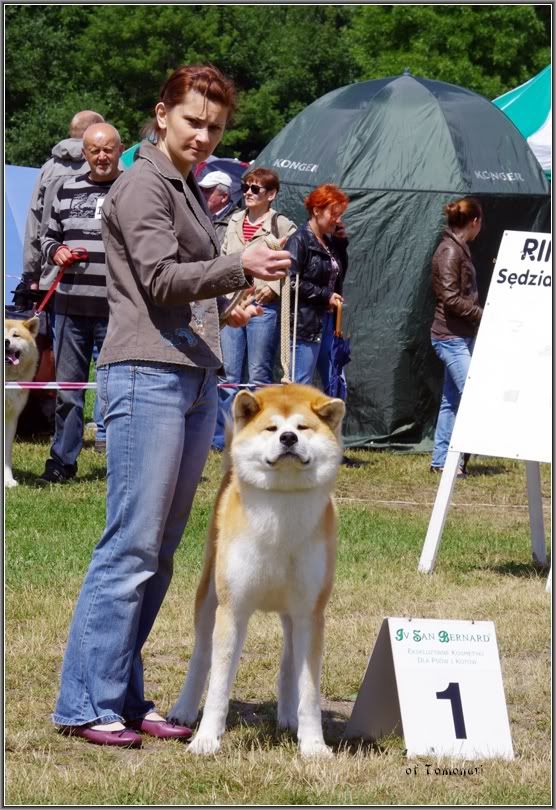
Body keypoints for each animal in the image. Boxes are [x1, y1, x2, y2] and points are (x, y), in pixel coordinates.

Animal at [169, 383, 345, 757]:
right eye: (271, 428)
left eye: (303, 427)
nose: (289, 438)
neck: (282, 514)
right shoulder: (233, 608)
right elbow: (219, 685)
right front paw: (206, 739)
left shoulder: (310, 613)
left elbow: (309, 691)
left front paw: (313, 745)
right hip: (209, 597)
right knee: (201, 656)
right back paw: (184, 709)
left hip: (292, 614)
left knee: (288, 662)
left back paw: (288, 716)